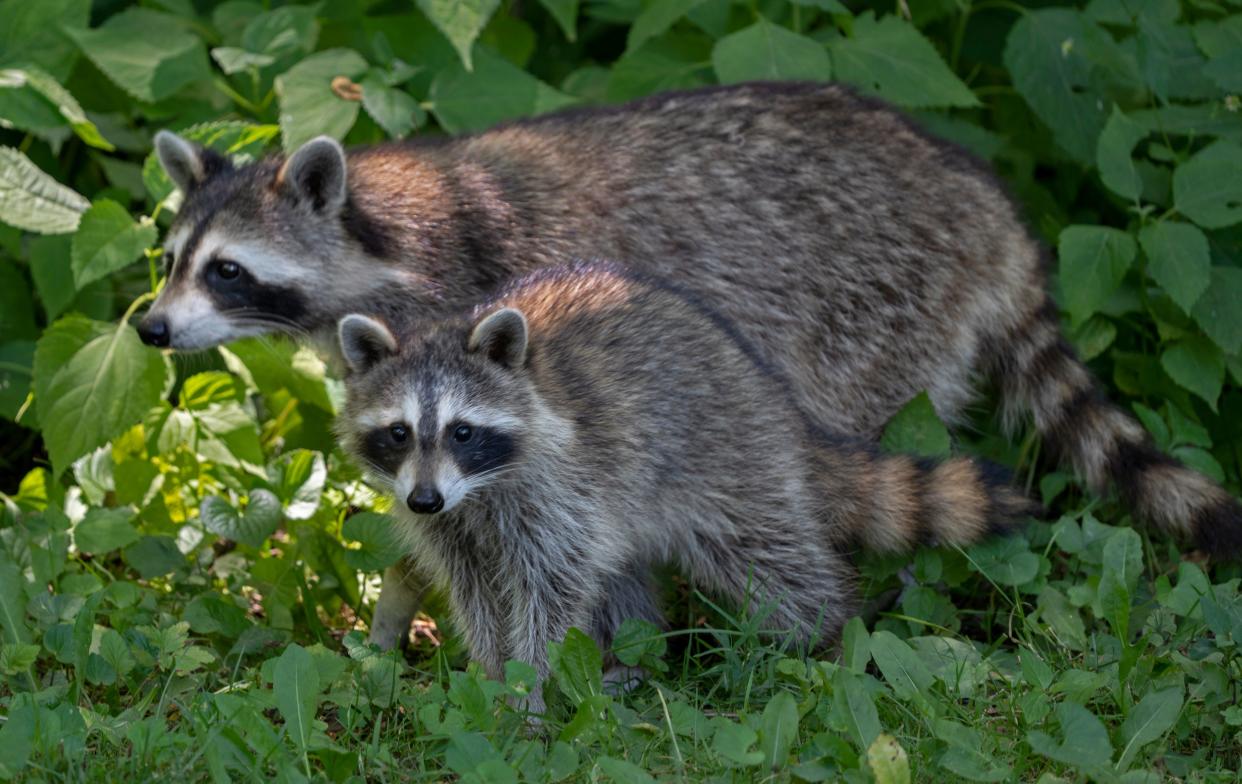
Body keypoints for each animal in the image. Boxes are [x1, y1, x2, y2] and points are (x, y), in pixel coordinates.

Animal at [147, 81, 1242, 646]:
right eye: (169, 260)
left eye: (228, 271)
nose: (152, 329)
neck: (381, 229)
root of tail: (991, 213)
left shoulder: (495, 333)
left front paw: (406, 621)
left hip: (870, 315)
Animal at [332, 259, 1028, 705]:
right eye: (398, 433)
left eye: (462, 431)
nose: (424, 500)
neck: (475, 490)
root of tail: (778, 404)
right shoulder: (457, 524)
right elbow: (477, 592)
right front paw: (494, 673)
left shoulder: (555, 486)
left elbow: (549, 590)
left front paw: (528, 688)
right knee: (621, 582)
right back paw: (629, 664)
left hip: (729, 465)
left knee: (776, 571)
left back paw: (830, 634)